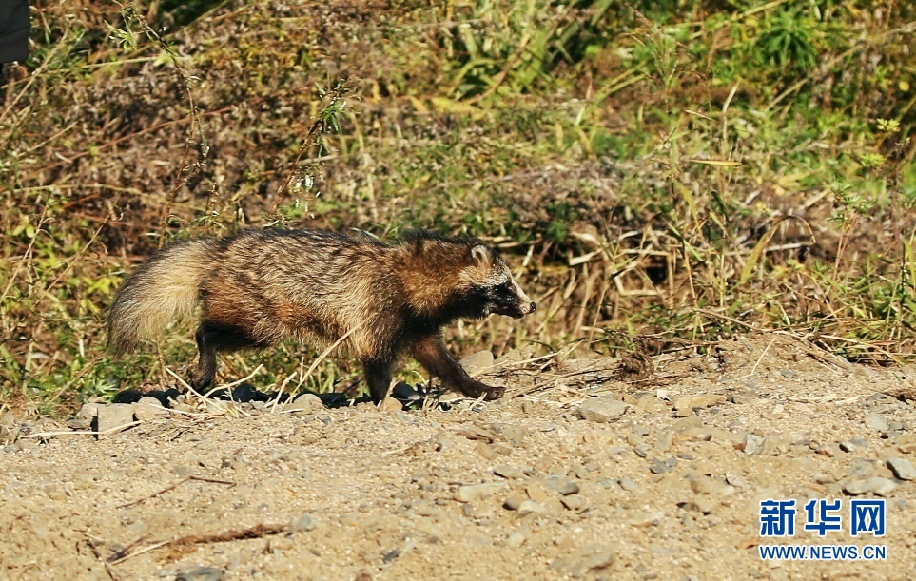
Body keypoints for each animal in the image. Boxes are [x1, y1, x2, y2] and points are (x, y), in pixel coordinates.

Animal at [105, 229, 536, 402]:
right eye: (506, 285)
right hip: (258, 311)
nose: (531, 305)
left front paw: (478, 387)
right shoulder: (378, 310)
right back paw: (205, 359)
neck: (416, 279)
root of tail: (221, 251)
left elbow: (445, 364)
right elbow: (376, 362)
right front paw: (380, 400)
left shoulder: (417, 325)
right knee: (212, 331)